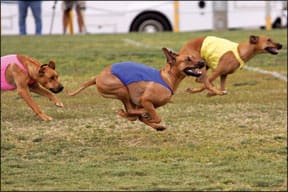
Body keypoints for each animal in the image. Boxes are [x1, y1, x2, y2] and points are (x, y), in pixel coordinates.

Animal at [68, 47, 205, 130]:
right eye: (188, 59)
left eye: (194, 57)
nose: (202, 62)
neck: (167, 78)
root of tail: (97, 77)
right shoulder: (146, 100)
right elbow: (156, 117)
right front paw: (151, 118)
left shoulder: (148, 104)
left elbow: (145, 117)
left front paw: (156, 125)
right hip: (122, 89)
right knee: (130, 110)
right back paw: (130, 113)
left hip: (125, 94)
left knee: (132, 113)